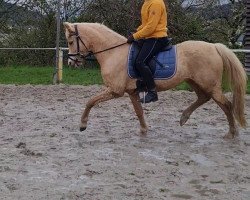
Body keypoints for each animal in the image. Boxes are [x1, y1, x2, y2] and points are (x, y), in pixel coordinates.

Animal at [63, 21, 247, 139]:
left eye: (71, 41)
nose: (71, 62)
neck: (113, 52)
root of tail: (214, 47)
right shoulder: (131, 91)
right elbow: (139, 111)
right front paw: (144, 130)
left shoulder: (115, 91)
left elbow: (90, 101)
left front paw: (82, 125)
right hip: (194, 82)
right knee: (204, 98)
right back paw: (184, 117)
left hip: (210, 85)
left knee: (226, 104)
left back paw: (231, 133)